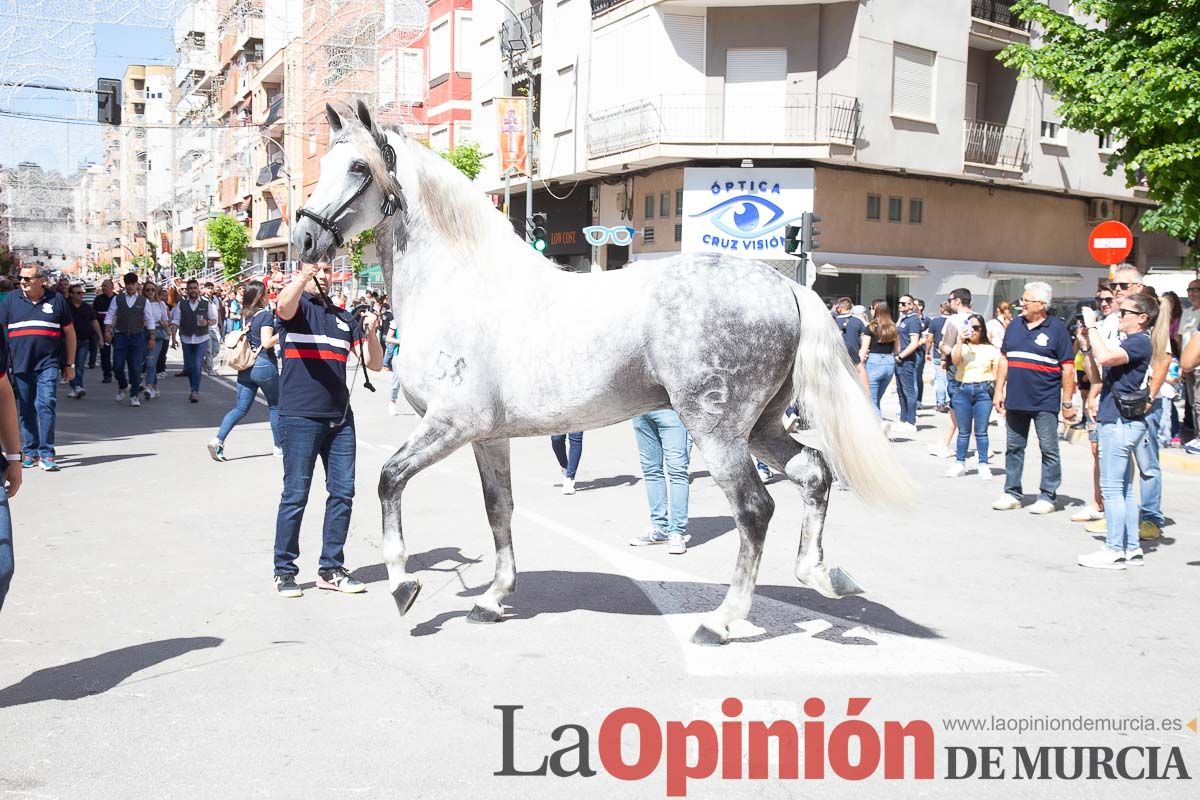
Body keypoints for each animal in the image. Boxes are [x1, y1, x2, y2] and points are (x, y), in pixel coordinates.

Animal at [290, 101, 907, 642]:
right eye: (327, 164)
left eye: (360, 168)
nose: (303, 239)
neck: (461, 281)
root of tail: (784, 284)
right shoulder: (487, 438)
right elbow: (499, 509)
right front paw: (492, 598)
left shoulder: (451, 425)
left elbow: (388, 479)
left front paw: (403, 585)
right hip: (764, 426)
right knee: (813, 473)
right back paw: (824, 576)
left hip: (719, 433)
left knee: (755, 510)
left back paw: (721, 621)